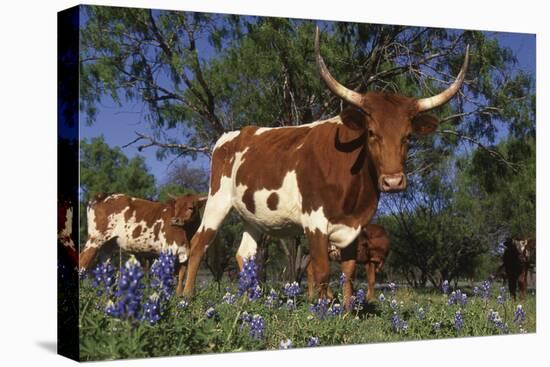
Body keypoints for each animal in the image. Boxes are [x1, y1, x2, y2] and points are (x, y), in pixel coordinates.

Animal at [78, 194, 206, 294]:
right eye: (176, 206)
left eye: (190, 207)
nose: (175, 220)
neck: (187, 234)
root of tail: (103, 196)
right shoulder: (169, 252)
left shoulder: (183, 255)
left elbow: (180, 279)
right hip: (95, 240)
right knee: (82, 262)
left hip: (107, 247)